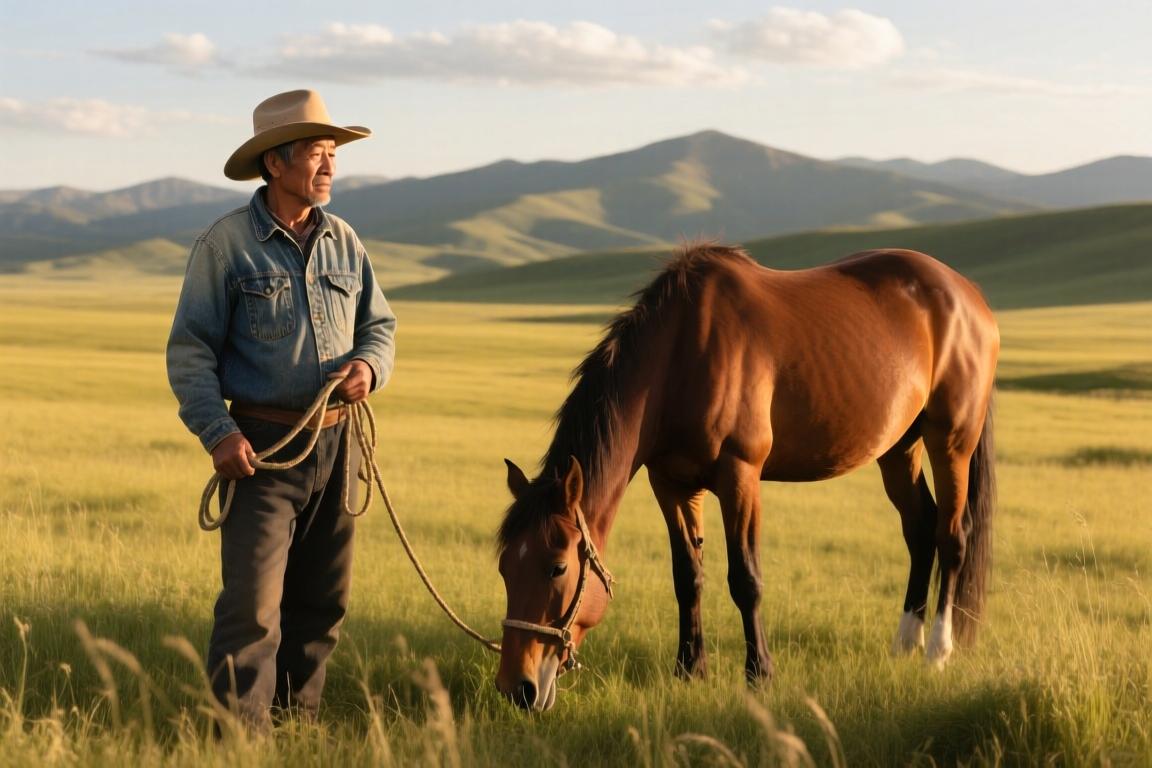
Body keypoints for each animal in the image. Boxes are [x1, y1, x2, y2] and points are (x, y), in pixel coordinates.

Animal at [495, 244, 998, 711]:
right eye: (503, 567)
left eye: (558, 567)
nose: (517, 687)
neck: (679, 357)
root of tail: (968, 295)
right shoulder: (672, 485)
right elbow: (687, 577)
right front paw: (689, 670)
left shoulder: (739, 476)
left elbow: (746, 579)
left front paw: (760, 674)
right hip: (898, 448)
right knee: (920, 530)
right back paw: (905, 643)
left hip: (951, 440)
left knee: (952, 535)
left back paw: (937, 651)